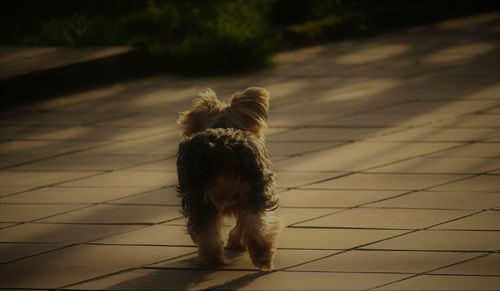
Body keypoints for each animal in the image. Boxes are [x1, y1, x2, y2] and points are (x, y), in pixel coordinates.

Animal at [176, 87, 280, 272]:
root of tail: (225, 149)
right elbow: (242, 222)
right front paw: (236, 242)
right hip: (254, 188)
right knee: (255, 223)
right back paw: (262, 257)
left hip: (202, 195)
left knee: (207, 229)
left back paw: (211, 259)